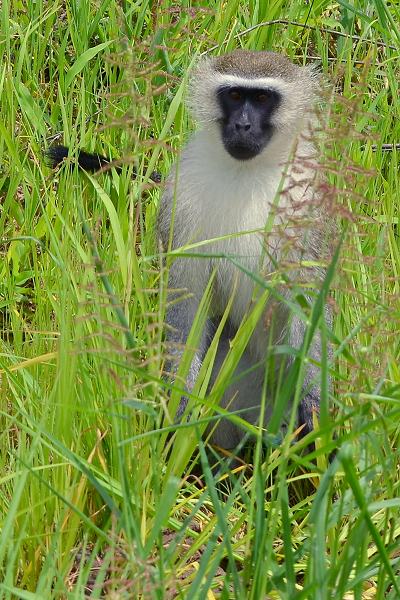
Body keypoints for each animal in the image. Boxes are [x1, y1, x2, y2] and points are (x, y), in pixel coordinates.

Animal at [158, 49, 332, 448]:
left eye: (263, 98)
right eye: (235, 96)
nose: (243, 126)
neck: (246, 172)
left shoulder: (308, 196)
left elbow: (306, 297)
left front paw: (313, 403)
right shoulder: (181, 192)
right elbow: (187, 299)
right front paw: (181, 404)